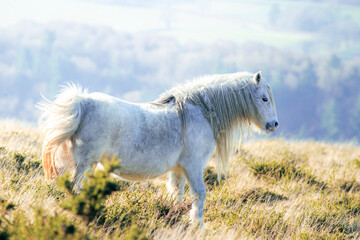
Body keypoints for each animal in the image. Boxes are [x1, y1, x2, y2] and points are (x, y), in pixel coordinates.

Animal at [40, 71, 282, 225]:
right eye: (264, 98)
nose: (274, 124)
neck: (200, 112)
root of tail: (82, 102)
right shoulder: (194, 168)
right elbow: (199, 196)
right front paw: (198, 226)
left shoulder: (179, 171)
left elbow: (177, 195)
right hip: (85, 164)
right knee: (76, 188)